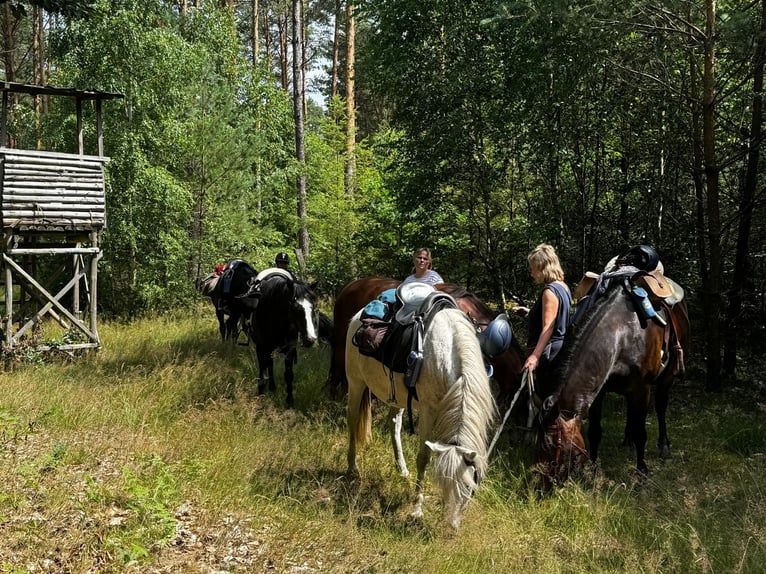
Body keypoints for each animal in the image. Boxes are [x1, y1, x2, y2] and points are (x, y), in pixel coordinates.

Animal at [248, 269, 320, 407]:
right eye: (295, 308)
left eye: (314, 307)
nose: (311, 339)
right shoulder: (261, 347)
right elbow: (262, 374)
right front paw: (260, 398)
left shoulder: (290, 348)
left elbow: (289, 374)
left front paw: (289, 401)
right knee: (267, 365)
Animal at [346, 307, 497, 528]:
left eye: (469, 486)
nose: (452, 526)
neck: (450, 358)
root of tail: (358, 315)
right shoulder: (428, 410)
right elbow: (424, 457)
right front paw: (417, 510)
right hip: (356, 382)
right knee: (353, 419)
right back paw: (352, 468)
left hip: (397, 398)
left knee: (394, 424)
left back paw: (402, 469)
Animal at [537, 270, 690, 484]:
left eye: (552, 448)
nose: (543, 486)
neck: (623, 334)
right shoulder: (598, 390)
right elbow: (594, 432)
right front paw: (593, 471)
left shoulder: (642, 388)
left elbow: (641, 433)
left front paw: (641, 475)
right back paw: (627, 439)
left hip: (667, 377)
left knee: (660, 407)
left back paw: (663, 445)